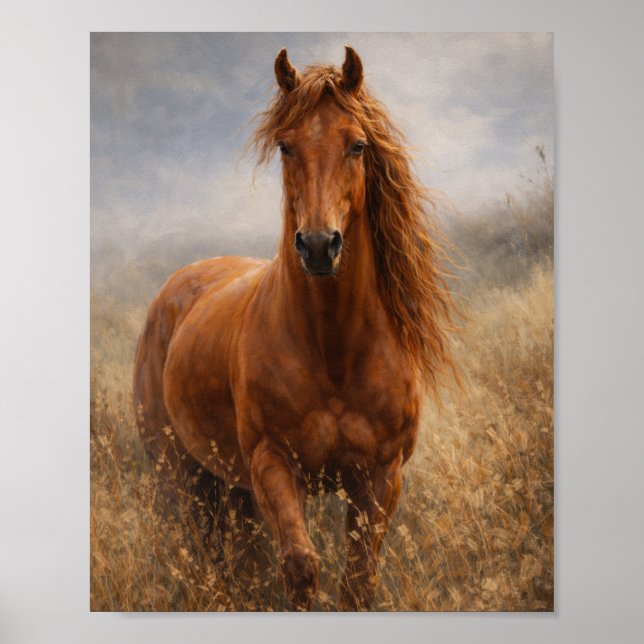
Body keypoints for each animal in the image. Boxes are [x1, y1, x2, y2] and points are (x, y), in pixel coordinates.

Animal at [133, 46, 455, 611]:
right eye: (286, 146)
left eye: (357, 144)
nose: (319, 246)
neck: (333, 349)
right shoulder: (274, 466)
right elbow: (301, 568)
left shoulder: (380, 476)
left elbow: (358, 582)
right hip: (181, 477)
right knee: (205, 554)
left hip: (231, 489)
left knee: (238, 558)